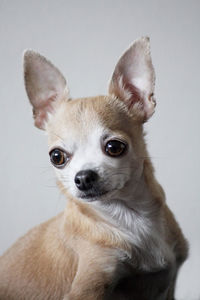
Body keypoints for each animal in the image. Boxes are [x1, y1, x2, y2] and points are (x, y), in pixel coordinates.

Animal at [0, 36, 188, 298]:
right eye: (57, 156)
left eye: (114, 147)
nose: (83, 177)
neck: (130, 217)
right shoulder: (89, 285)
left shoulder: (168, 284)